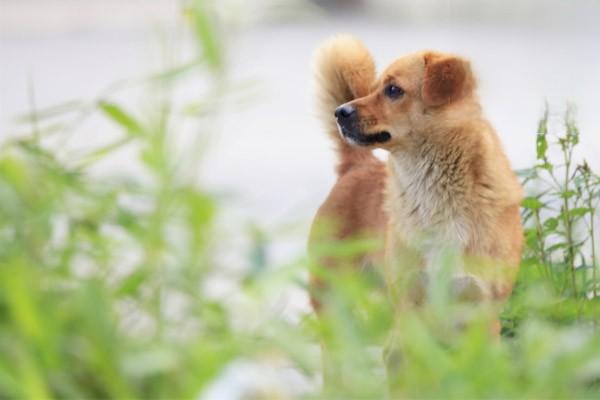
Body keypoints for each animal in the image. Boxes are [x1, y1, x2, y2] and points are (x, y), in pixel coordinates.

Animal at [308, 36, 524, 382]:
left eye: (393, 90)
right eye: (375, 87)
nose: (339, 112)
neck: (439, 195)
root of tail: (357, 166)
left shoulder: (481, 315)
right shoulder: (410, 314)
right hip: (335, 304)